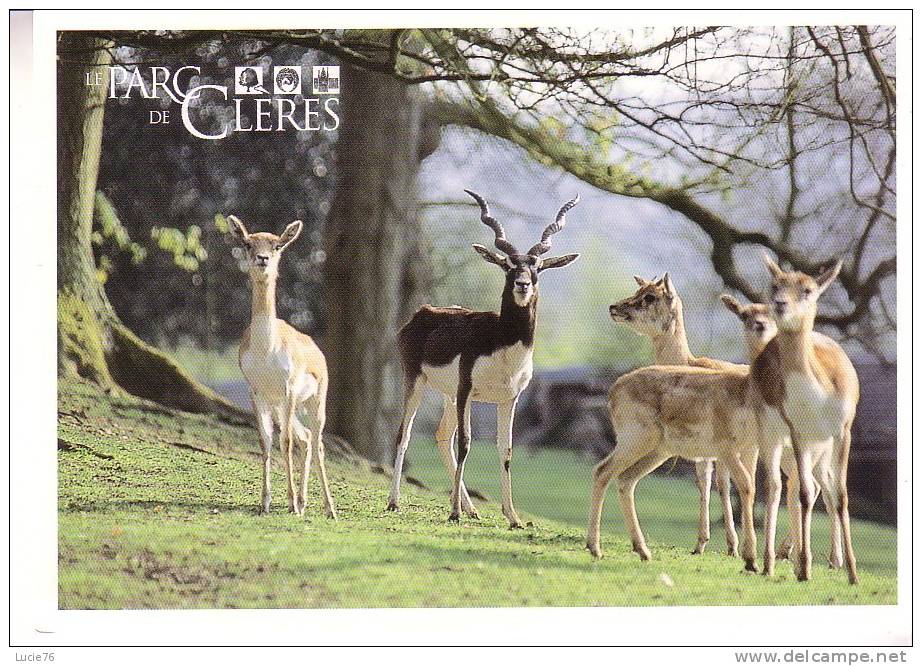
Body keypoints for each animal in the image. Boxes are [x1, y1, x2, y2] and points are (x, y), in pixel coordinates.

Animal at [228, 215, 336, 516]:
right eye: (248, 243)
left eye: (277, 245)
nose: (263, 259)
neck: (267, 348)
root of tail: (318, 352)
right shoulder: (257, 392)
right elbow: (265, 441)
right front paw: (265, 503)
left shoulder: (288, 389)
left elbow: (284, 443)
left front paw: (290, 503)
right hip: (281, 406)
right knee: (306, 438)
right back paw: (304, 501)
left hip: (314, 401)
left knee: (317, 442)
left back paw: (327, 508)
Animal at [386, 191, 576, 524]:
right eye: (508, 266)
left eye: (537, 267)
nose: (523, 284)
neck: (502, 343)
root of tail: (423, 312)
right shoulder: (466, 390)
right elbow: (466, 443)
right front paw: (453, 513)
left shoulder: (508, 399)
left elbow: (506, 450)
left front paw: (512, 517)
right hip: (417, 381)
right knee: (404, 434)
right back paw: (395, 501)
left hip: (449, 396)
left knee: (441, 436)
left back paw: (471, 509)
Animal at [612, 272, 740, 556]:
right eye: (639, 289)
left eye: (651, 296)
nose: (614, 307)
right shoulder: (704, 452)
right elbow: (705, 484)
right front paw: (700, 544)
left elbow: (723, 485)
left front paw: (733, 547)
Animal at [752, 254, 860, 580]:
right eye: (775, 284)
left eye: (808, 290)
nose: (779, 304)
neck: (817, 397)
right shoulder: (798, 433)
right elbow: (802, 494)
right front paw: (804, 569)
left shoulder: (842, 432)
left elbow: (841, 495)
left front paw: (852, 573)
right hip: (771, 435)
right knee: (776, 487)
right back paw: (768, 563)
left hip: (822, 448)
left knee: (822, 488)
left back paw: (829, 560)